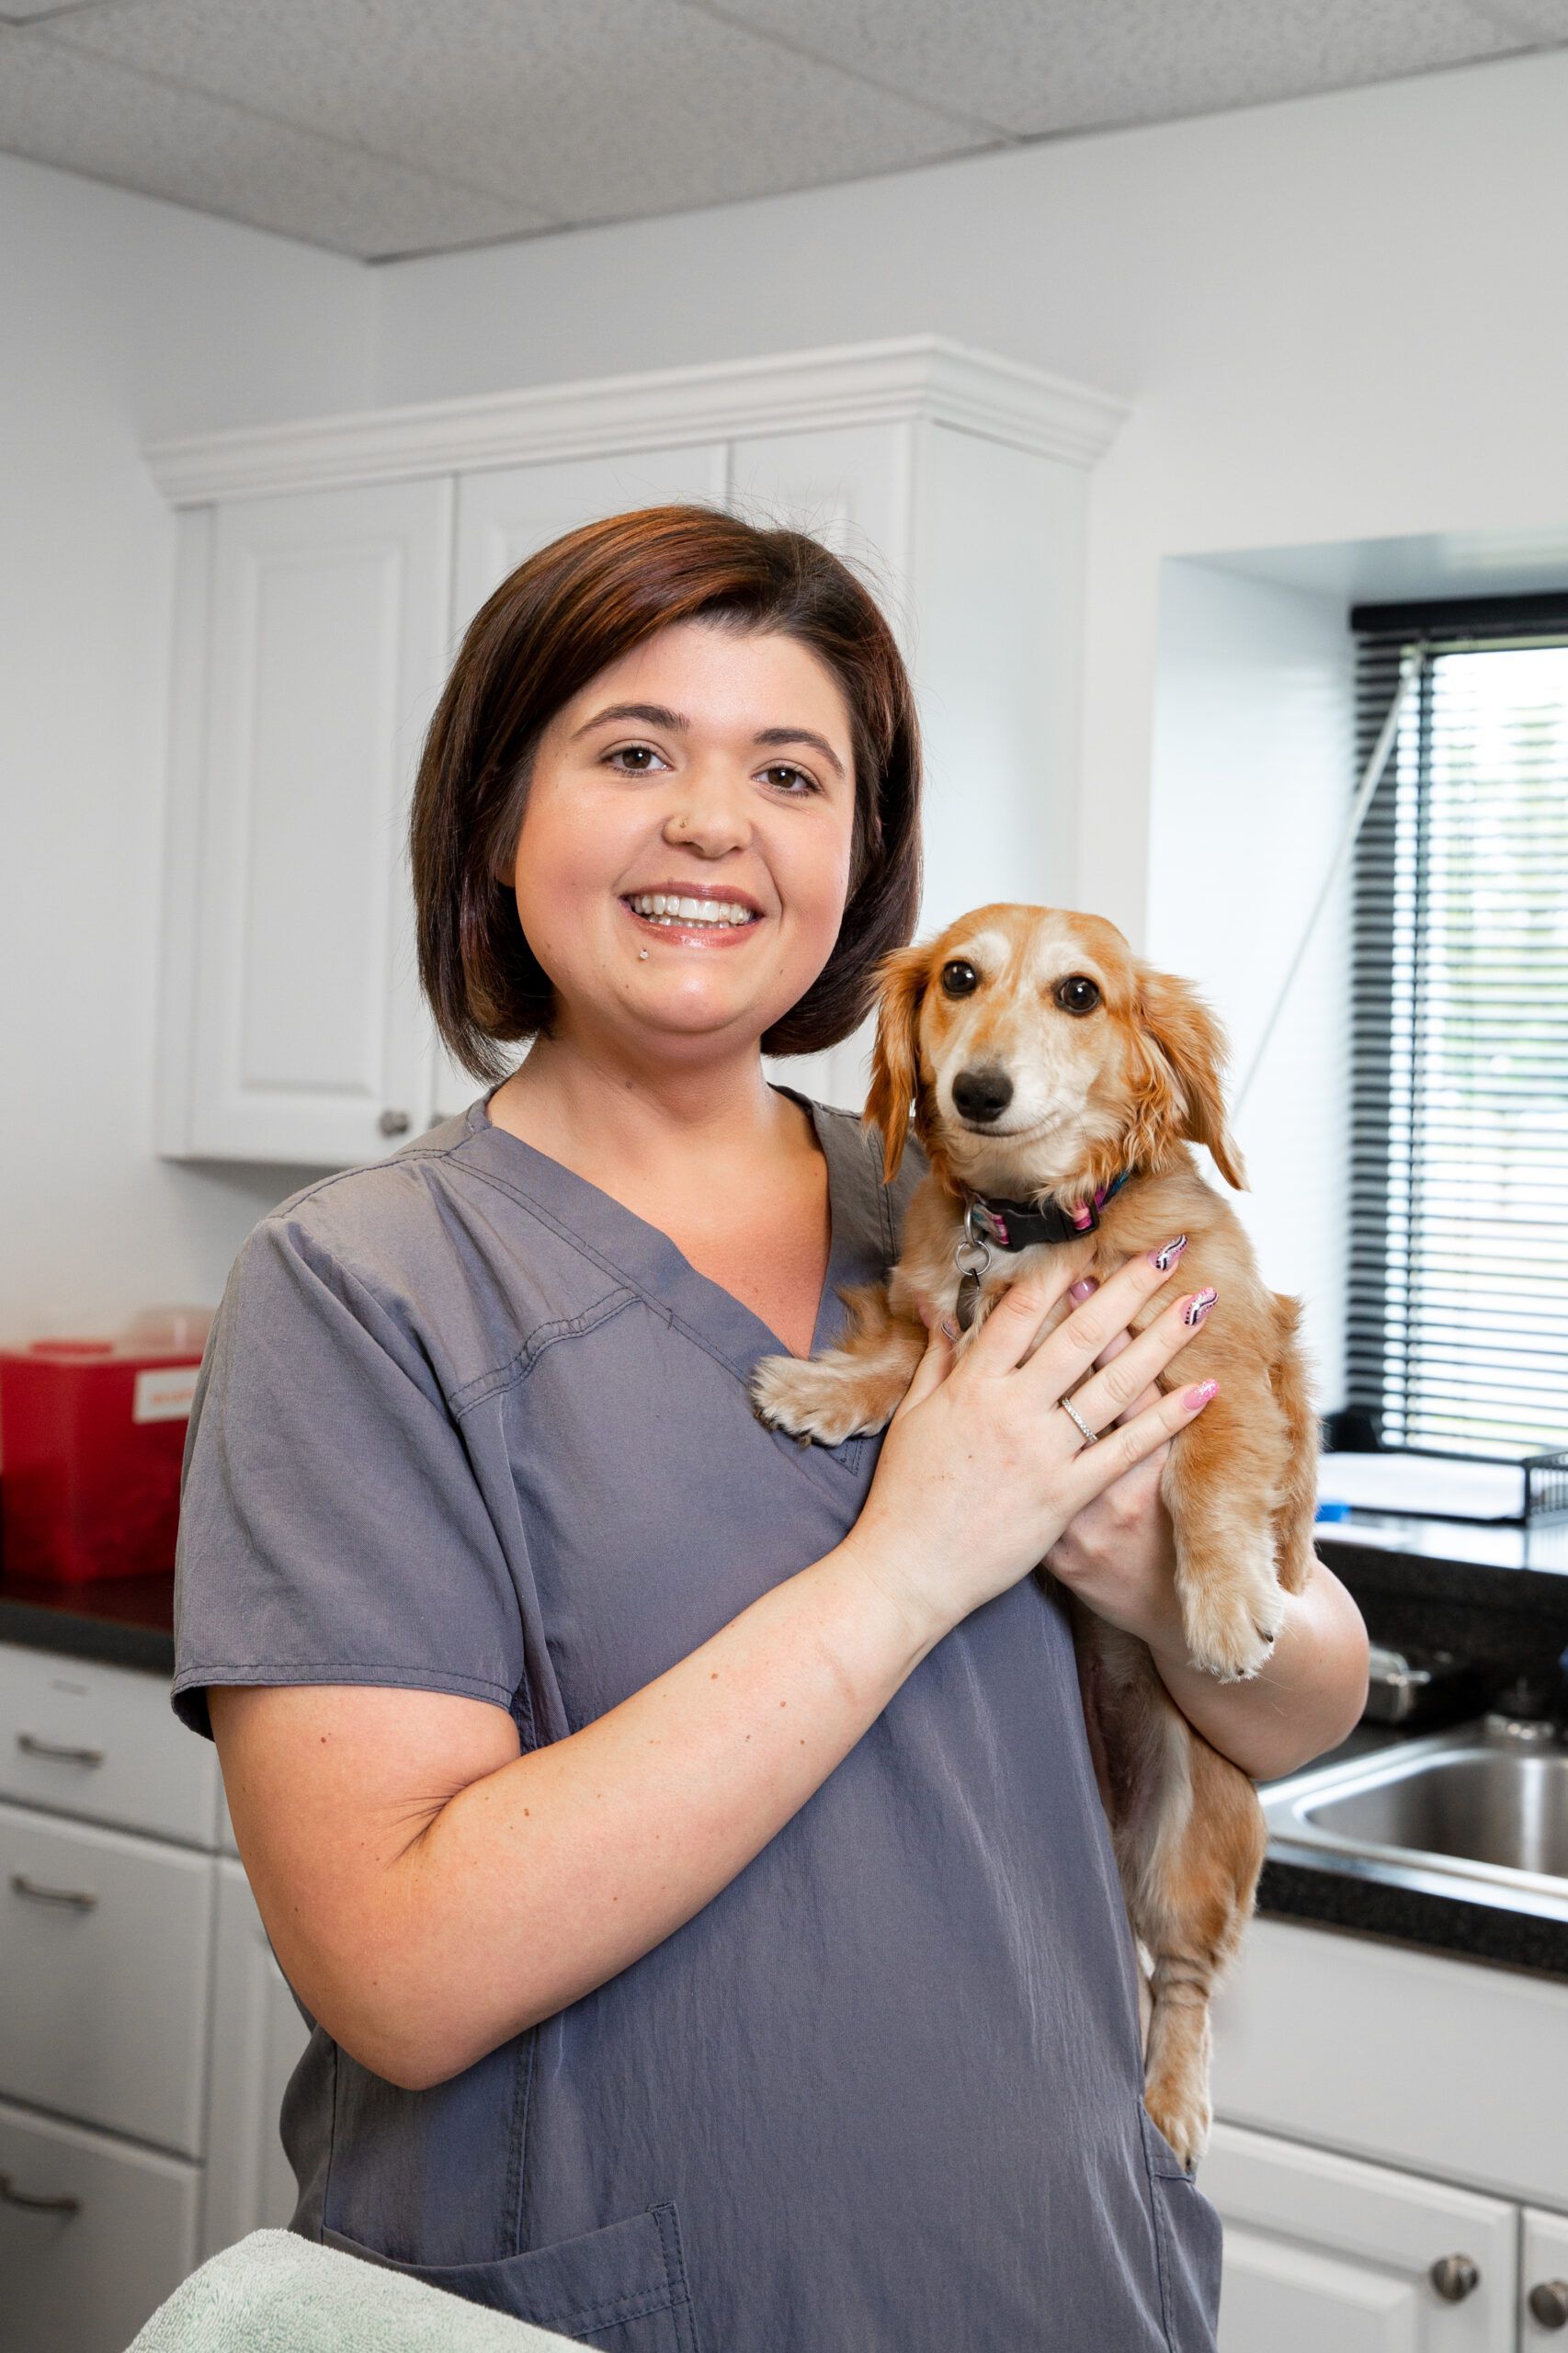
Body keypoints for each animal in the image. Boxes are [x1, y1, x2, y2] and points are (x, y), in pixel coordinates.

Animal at [753, 904, 1309, 2165]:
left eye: (1079, 994)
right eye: (958, 977)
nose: (979, 1089)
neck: (1034, 1224)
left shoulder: (1221, 1370)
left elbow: (1209, 1477)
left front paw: (1221, 1604)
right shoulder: (930, 1309)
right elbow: (904, 1353)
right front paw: (826, 1390)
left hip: (1191, 1841)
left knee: (1181, 1980)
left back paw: (1172, 2100)